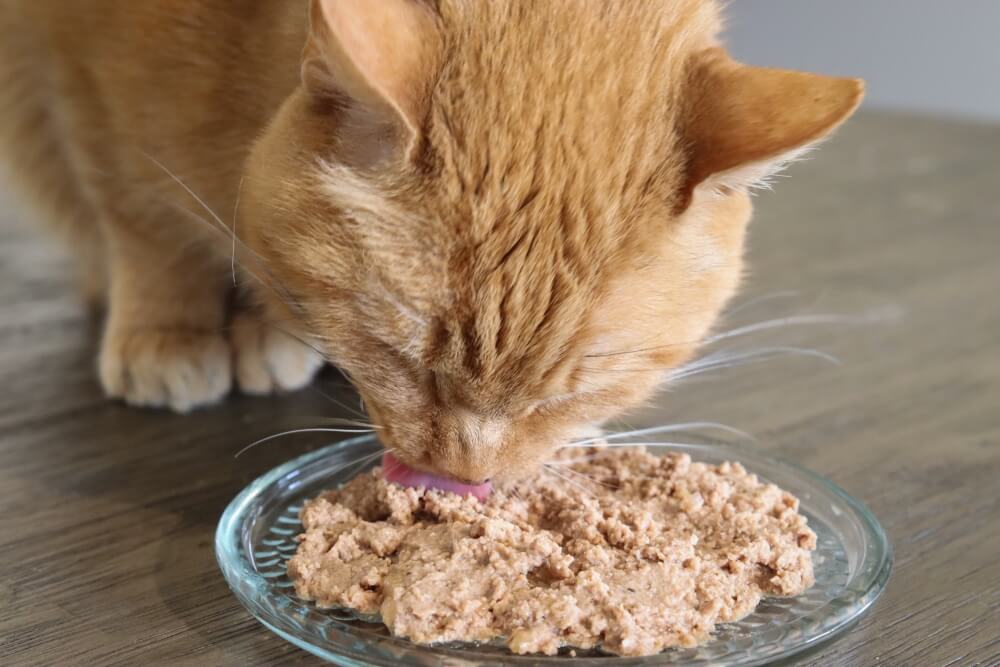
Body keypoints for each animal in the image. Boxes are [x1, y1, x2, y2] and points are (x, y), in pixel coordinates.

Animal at [0, 0, 860, 480]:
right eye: (398, 357)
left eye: (566, 393)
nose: (464, 474)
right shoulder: (88, 70)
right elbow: (142, 221)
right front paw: (171, 329)